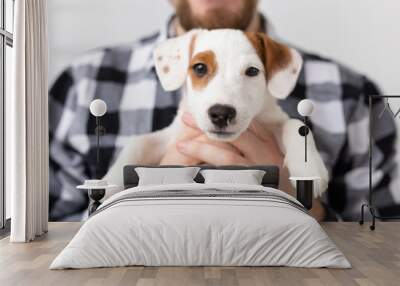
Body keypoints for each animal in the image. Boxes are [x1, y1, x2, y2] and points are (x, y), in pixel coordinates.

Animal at [102, 29, 328, 198]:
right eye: (200, 68)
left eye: (252, 71)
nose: (221, 113)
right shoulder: (173, 136)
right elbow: (137, 142)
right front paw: (108, 183)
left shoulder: (273, 121)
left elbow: (296, 125)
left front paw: (309, 168)